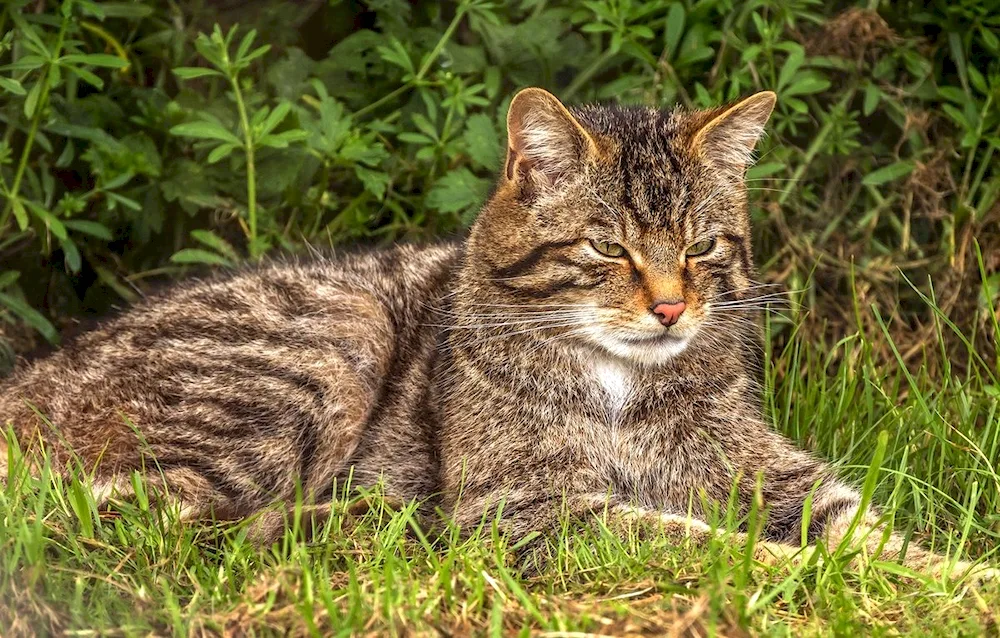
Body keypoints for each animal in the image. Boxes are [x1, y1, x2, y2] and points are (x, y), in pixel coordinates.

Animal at [0, 87, 988, 584]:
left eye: (702, 246)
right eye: (607, 247)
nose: (672, 309)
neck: (622, 383)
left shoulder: (776, 474)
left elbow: (875, 536)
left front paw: (963, 583)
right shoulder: (528, 506)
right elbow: (701, 541)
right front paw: (791, 571)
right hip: (325, 339)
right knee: (143, 514)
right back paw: (367, 525)